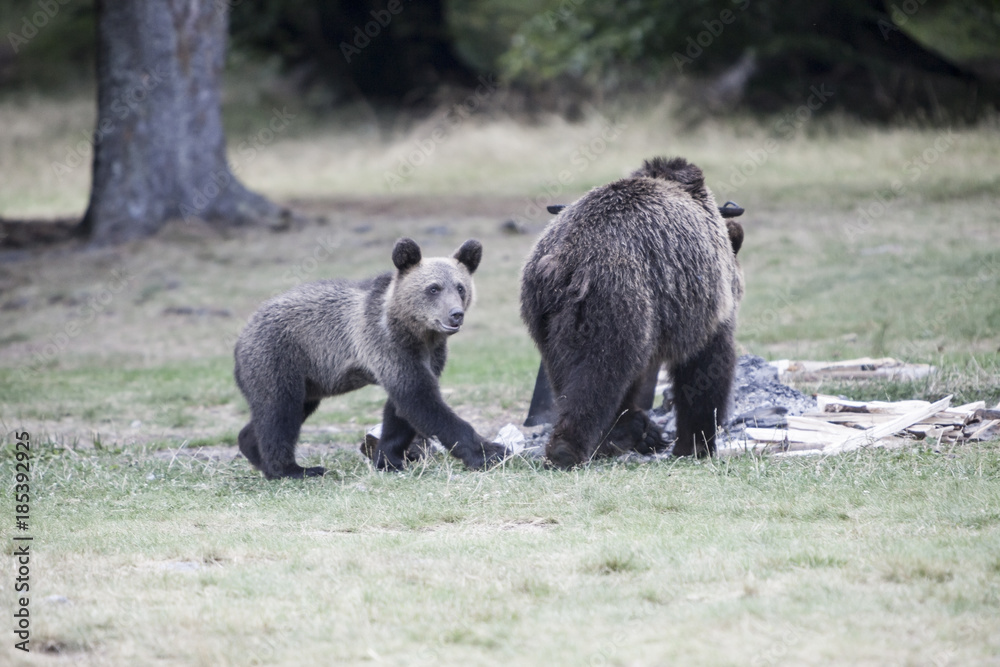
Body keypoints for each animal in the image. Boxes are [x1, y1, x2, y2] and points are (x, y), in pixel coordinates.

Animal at [234, 237, 510, 479]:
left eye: (460, 287)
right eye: (433, 288)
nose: (455, 314)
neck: (417, 332)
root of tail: (242, 334)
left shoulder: (431, 355)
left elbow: (399, 410)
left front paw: (388, 459)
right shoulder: (387, 345)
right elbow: (420, 399)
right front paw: (492, 451)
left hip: (310, 378)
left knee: (287, 409)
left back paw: (254, 451)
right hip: (279, 356)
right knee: (280, 411)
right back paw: (293, 469)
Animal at [520, 156, 744, 468]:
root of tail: (564, 261)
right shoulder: (704, 305)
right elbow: (706, 368)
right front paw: (695, 443)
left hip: (545, 317)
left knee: (564, 375)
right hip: (614, 300)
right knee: (600, 374)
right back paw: (568, 449)